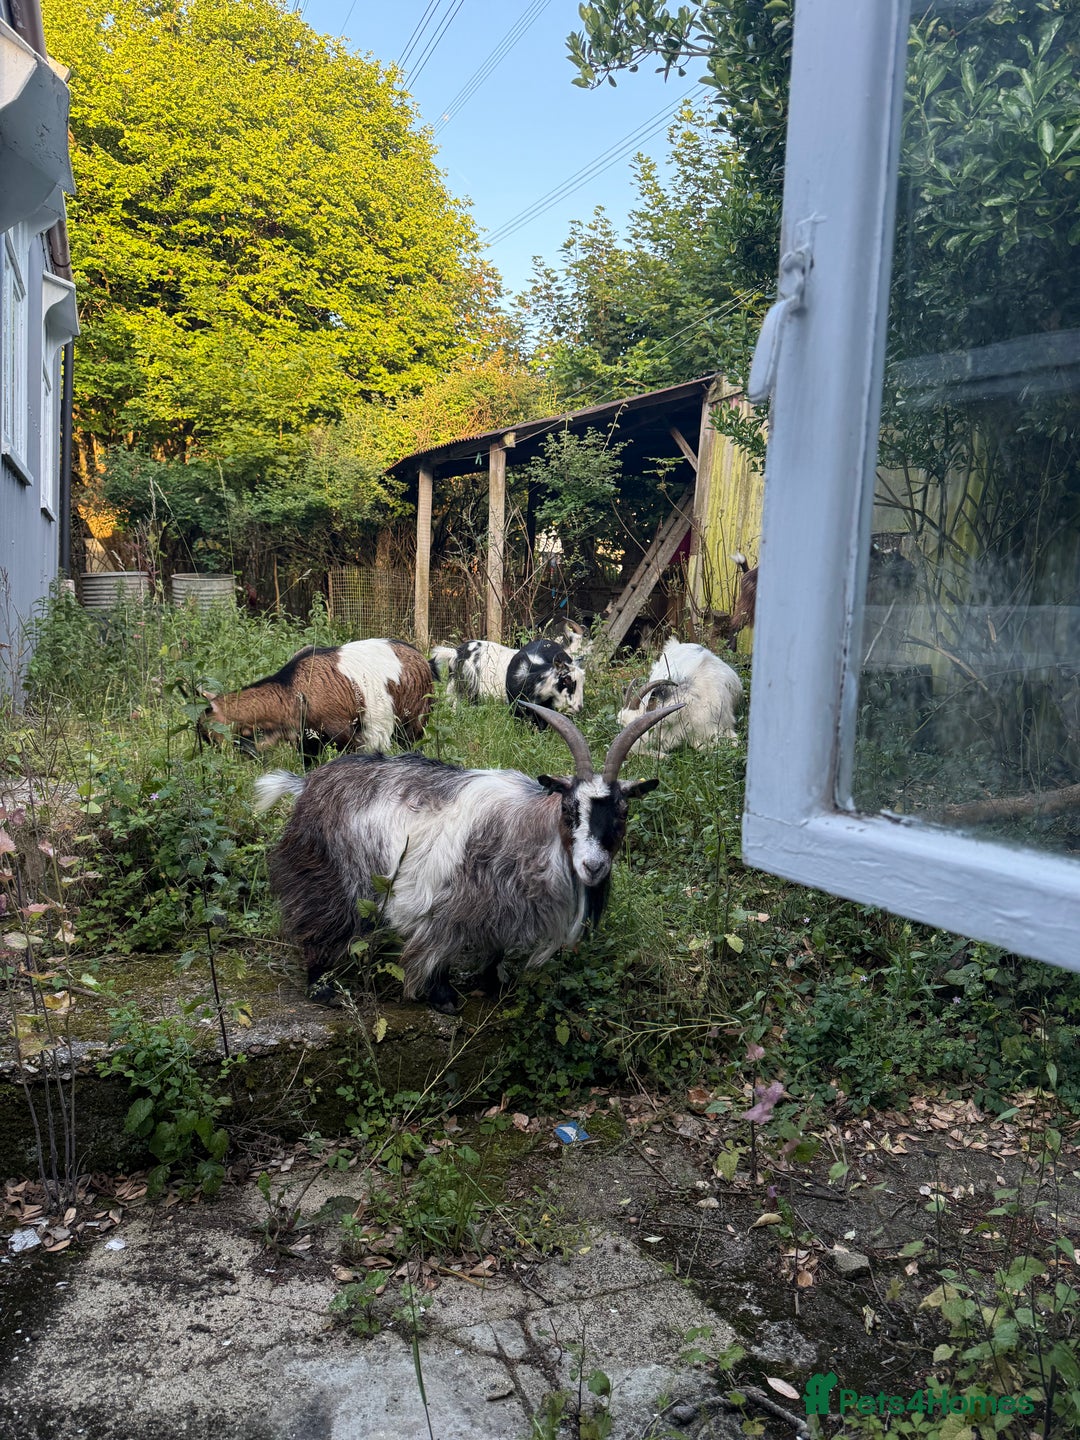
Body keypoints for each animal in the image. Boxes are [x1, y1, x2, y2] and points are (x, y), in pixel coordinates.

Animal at [198, 639, 433, 761]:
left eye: (209, 735)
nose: (216, 760)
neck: (292, 690)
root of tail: (425, 661)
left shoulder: (346, 736)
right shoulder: (307, 741)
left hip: (414, 720)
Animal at [255, 701, 681, 1011]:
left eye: (622, 812)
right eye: (568, 808)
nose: (593, 867)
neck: (531, 827)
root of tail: (308, 783)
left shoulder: (502, 904)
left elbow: (495, 949)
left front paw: (492, 986)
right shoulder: (450, 897)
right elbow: (439, 946)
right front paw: (442, 998)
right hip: (323, 871)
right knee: (317, 921)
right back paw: (321, 988)